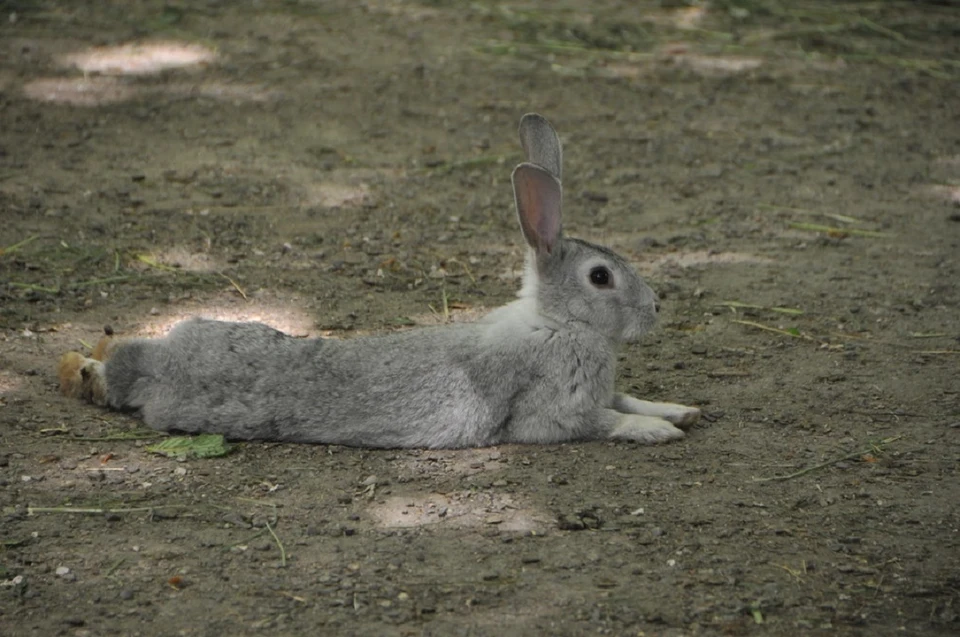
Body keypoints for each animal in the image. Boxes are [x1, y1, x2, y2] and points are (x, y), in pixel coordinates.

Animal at [60, 113, 700, 448]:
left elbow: (627, 395)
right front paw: (656, 430)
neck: (558, 323)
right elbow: (604, 420)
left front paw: (680, 410)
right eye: (601, 277)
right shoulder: (554, 412)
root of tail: (155, 365)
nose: (655, 309)